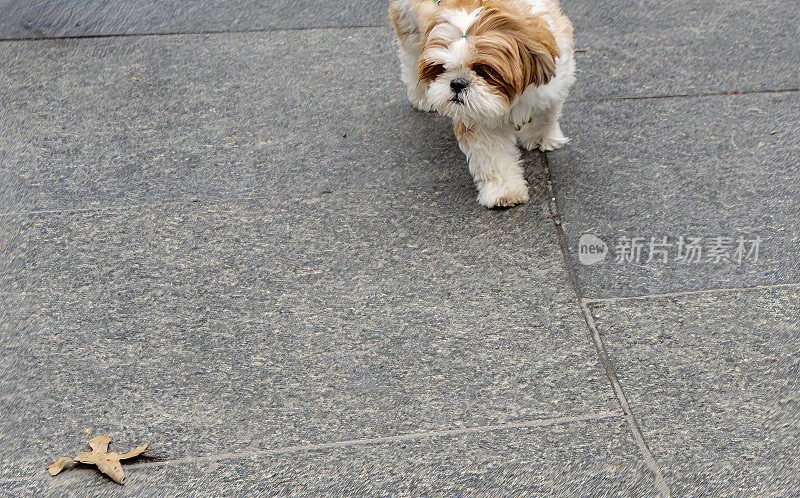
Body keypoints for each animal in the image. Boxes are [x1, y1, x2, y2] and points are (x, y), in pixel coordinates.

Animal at [390, 0, 572, 207]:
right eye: (441, 68)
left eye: (484, 71)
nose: (457, 83)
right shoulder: (477, 121)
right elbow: (494, 157)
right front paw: (505, 191)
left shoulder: (554, 85)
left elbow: (546, 114)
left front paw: (541, 137)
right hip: (407, 20)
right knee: (411, 56)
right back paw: (422, 95)